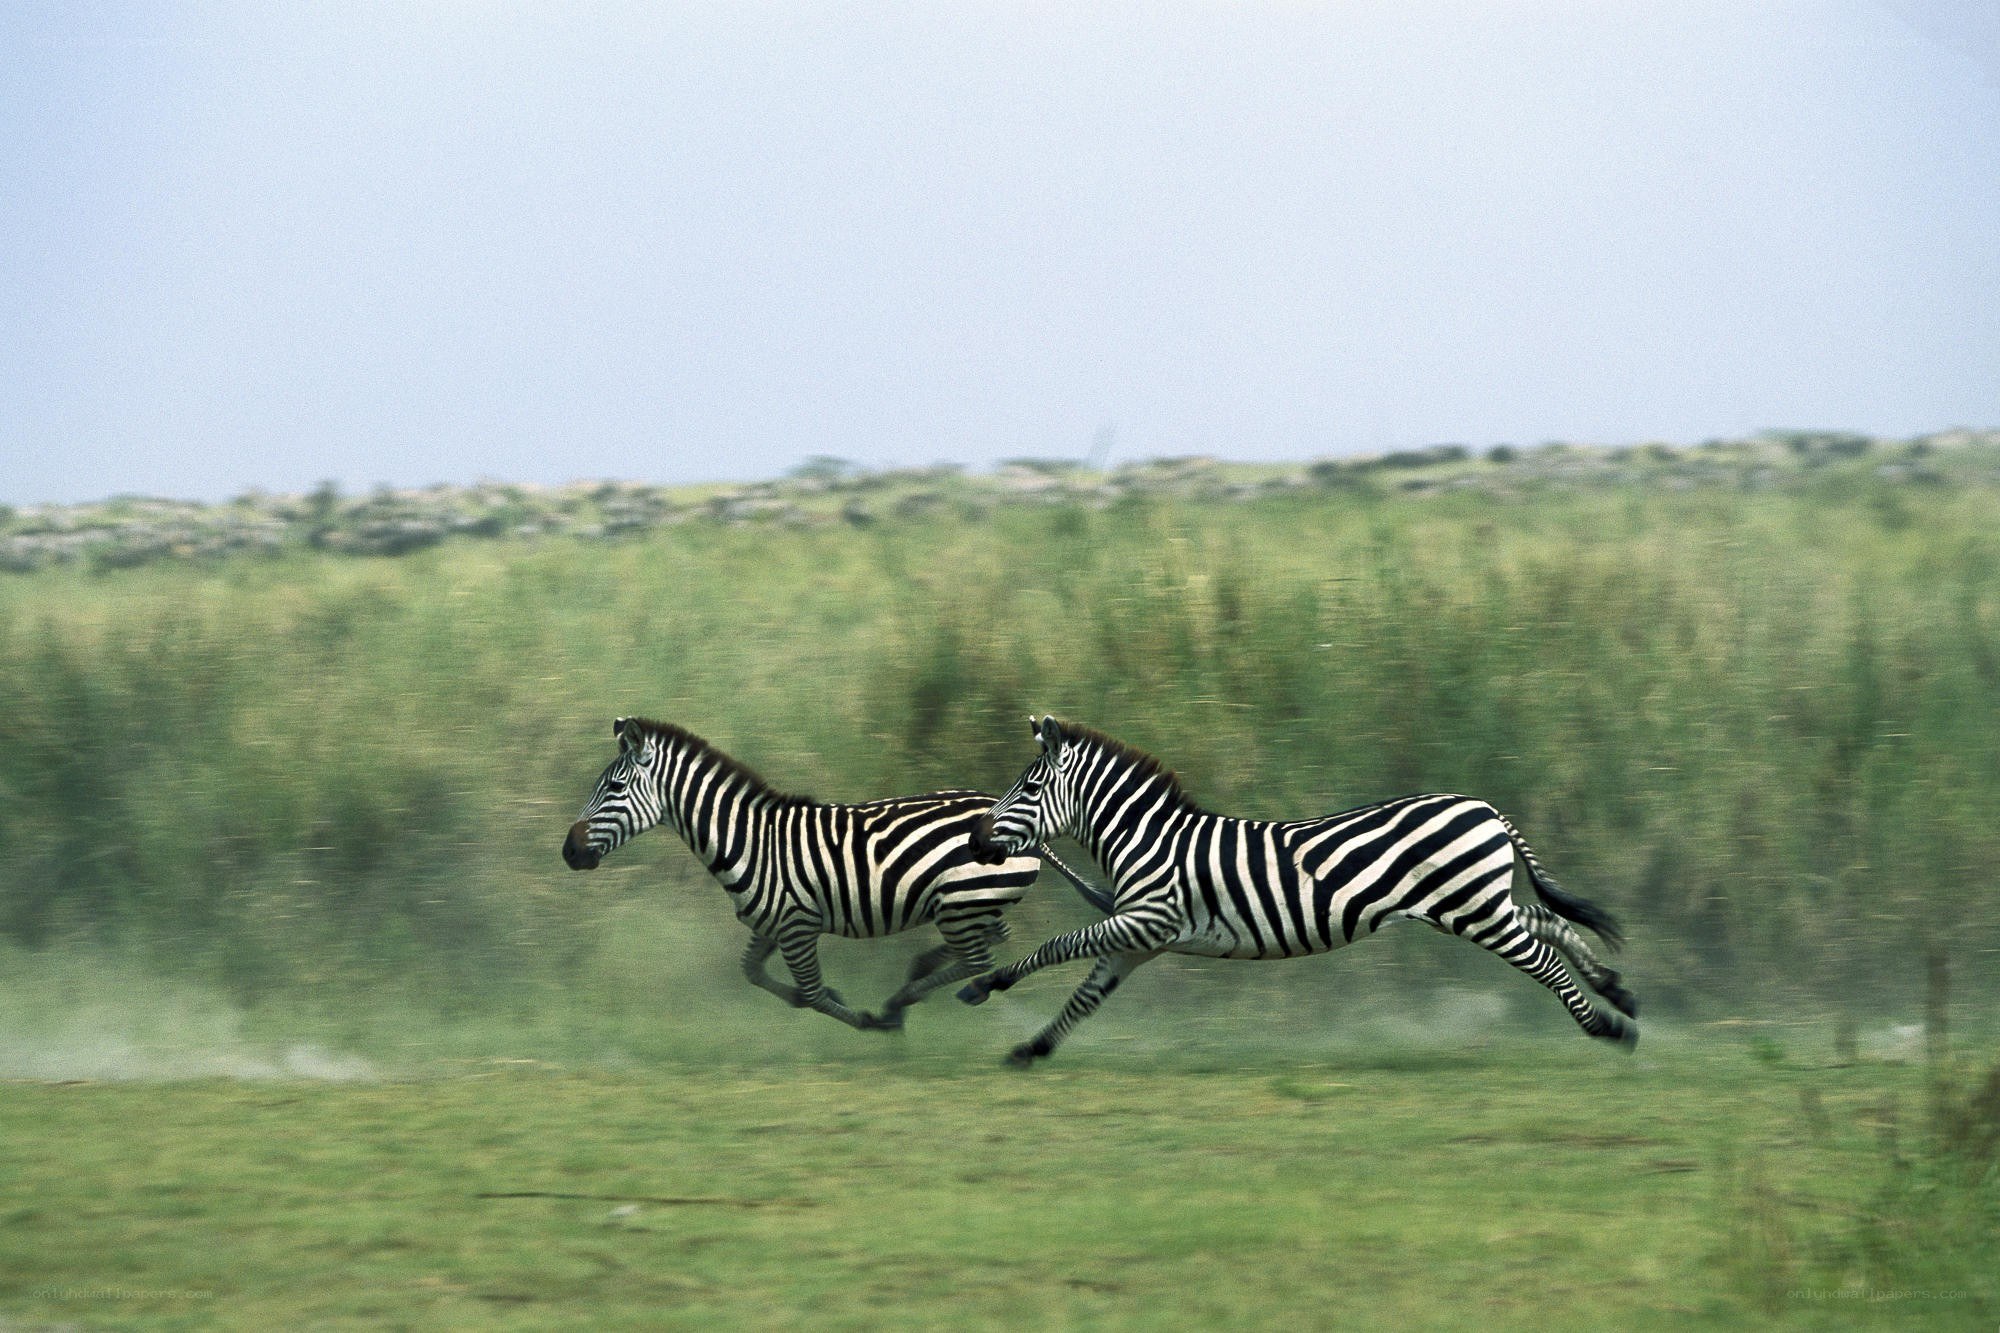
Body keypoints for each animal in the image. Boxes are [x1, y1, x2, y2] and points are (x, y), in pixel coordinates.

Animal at [561, 717, 1112, 1032]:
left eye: (613, 788)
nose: (569, 852)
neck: (747, 840)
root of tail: (1036, 837)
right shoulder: (771, 924)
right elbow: (753, 973)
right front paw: (829, 1001)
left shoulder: (797, 924)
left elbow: (810, 992)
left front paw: (863, 1019)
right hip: (970, 902)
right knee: (986, 941)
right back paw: (914, 979)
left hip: (963, 900)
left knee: (978, 959)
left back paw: (898, 1002)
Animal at [960, 716, 1638, 1066]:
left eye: (1028, 787)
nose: (978, 838)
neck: (1147, 839)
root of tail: (1486, 808)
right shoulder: (1139, 938)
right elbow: (1086, 994)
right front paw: (1032, 1047)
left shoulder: (1149, 920)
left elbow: (1057, 946)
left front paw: (987, 984)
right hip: (1476, 901)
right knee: (1546, 921)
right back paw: (1615, 989)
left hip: (1472, 908)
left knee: (1542, 957)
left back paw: (1608, 1028)